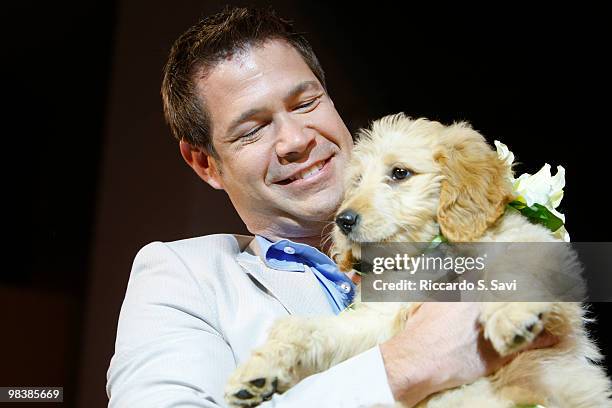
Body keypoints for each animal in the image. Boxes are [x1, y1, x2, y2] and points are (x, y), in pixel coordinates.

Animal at [226, 114, 612, 408]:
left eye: (400, 173)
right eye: (357, 181)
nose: (343, 221)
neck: (421, 258)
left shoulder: (542, 256)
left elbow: (508, 272)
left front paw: (510, 316)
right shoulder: (379, 321)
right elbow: (310, 330)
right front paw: (259, 369)